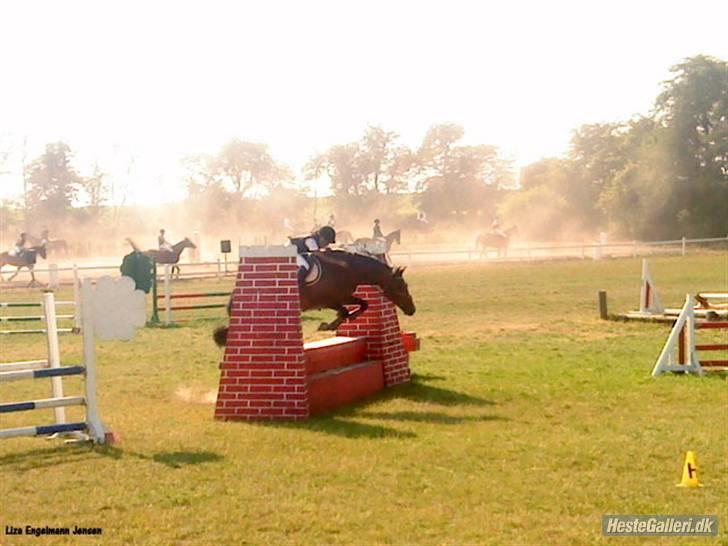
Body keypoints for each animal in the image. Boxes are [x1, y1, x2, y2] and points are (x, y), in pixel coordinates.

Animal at [212, 248, 416, 344]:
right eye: (401, 287)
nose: (412, 310)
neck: (349, 269)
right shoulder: (332, 300)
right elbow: (354, 307)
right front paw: (329, 325)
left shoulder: (339, 299)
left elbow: (360, 306)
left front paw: (338, 322)